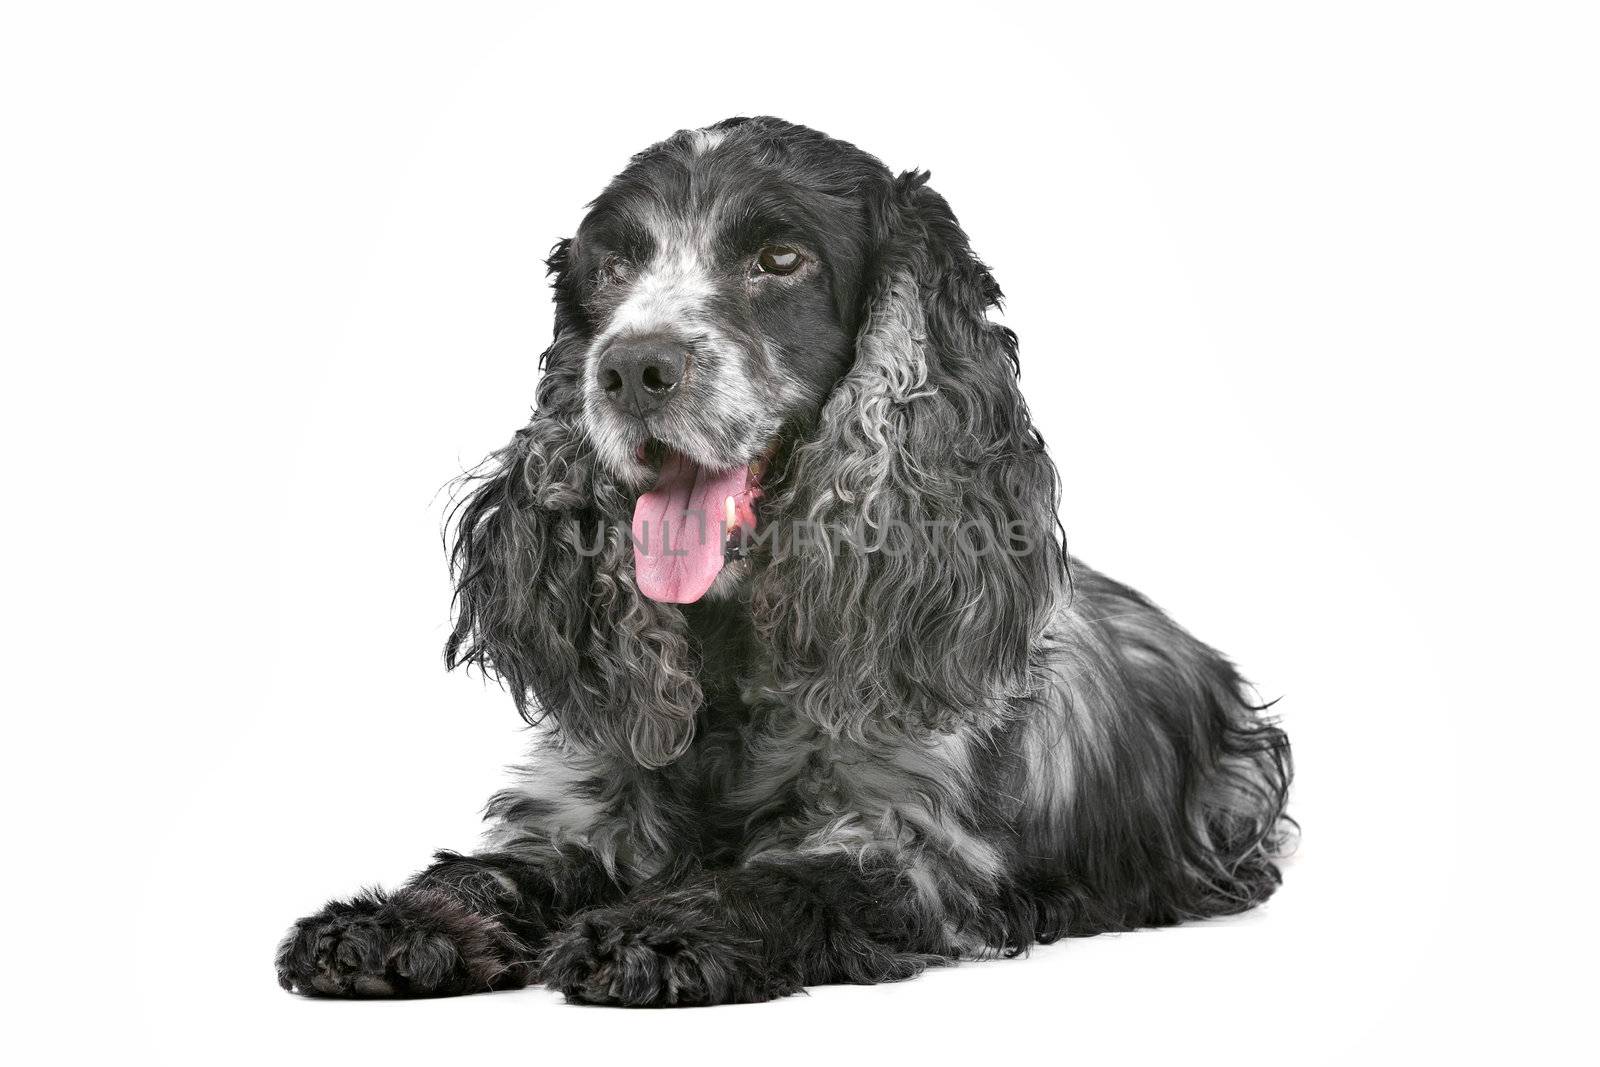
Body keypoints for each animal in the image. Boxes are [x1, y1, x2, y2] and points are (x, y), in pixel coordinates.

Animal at [278, 119, 1286, 1011]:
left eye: (780, 259)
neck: (736, 660)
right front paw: (388, 923)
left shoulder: (908, 839)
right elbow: (494, 870)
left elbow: (780, 882)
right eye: (613, 268)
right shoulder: (587, 805)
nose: (631, 367)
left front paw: (659, 930)